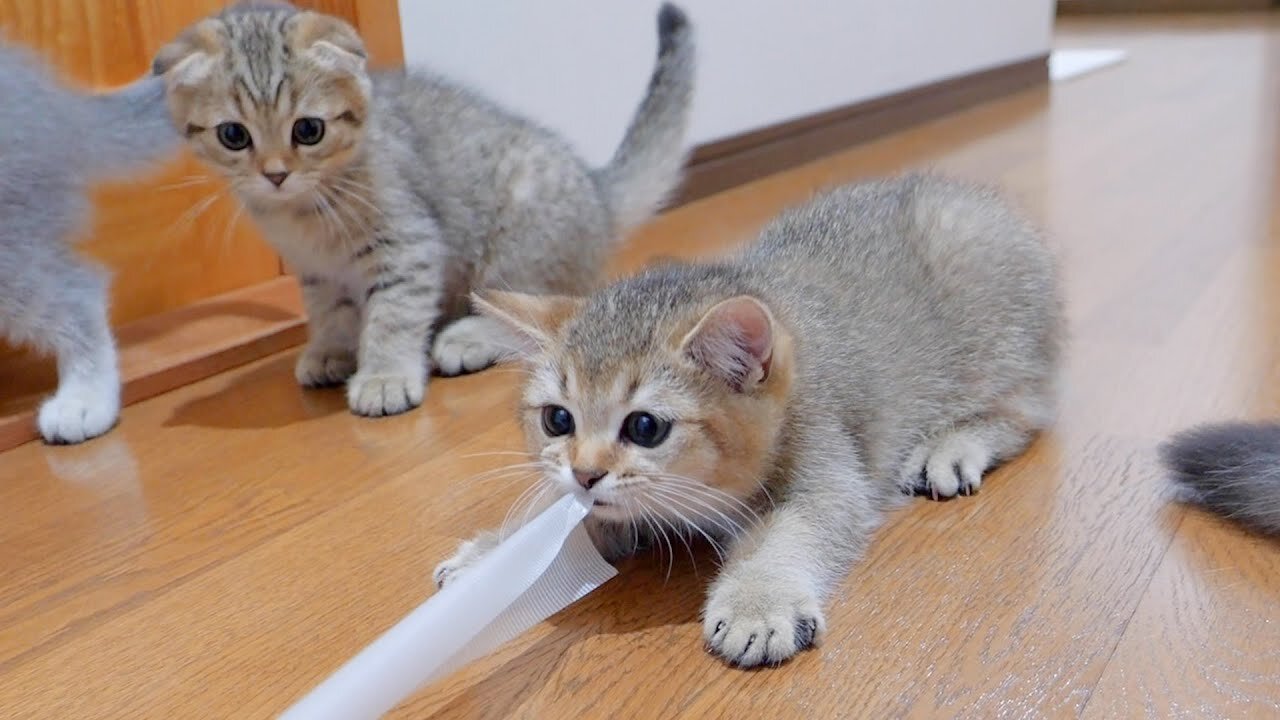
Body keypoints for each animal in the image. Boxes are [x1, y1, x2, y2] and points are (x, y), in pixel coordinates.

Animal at [157, 1, 701, 415]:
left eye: (308, 130)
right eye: (234, 135)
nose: (274, 174)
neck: (306, 213)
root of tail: (598, 193)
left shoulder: (407, 244)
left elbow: (393, 315)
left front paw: (384, 376)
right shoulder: (316, 270)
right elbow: (330, 313)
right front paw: (332, 350)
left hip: (519, 240)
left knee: (534, 312)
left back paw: (468, 339)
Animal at [435, 175, 1064, 666]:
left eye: (644, 428)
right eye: (558, 419)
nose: (586, 473)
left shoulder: (829, 475)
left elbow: (788, 533)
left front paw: (757, 603)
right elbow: (553, 525)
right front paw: (489, 559)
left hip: (992, 340)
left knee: (1027, 407)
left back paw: (952, 447)